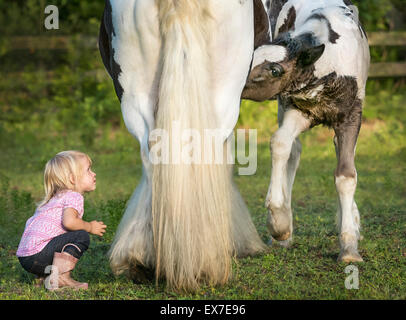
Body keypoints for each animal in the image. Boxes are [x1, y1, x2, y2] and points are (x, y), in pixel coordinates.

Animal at [243, 0, 370, 262]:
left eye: (275, 70)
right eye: (251, 59)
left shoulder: (351, 117)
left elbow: (346, 174)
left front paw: (349, 247)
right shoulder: (298, 109)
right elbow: (280, 143)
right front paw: (278, 224)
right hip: (283, 105)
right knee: (293, 149)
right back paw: (284, 234)